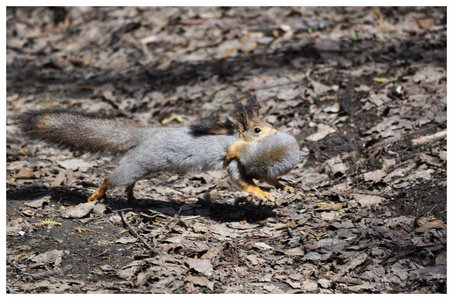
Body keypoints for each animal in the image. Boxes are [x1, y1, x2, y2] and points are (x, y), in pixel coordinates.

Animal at [18, 92, 300, 203]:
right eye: (258, 129)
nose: (277, 132)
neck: (237, 139)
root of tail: (144, 134)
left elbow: (265, 177)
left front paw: (283, 186)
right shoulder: (233, 158)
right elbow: (243, 181)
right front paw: (263, 194)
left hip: (145, 167)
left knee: (129, 181)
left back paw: (131, 196)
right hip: (138, 163)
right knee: (111, 179)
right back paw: (97, 195)